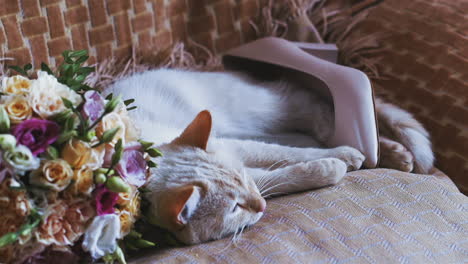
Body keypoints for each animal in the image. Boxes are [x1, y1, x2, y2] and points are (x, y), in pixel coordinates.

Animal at [108, 67, 434, 243]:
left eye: (242, 182)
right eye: (235, 208)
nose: (261, 205)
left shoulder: (240, 149)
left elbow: (287, 156)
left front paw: (341, 158)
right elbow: (284, 174)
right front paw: (331, 167)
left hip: (261, 112)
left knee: (322, 116)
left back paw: (386, 152)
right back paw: (392, 155)